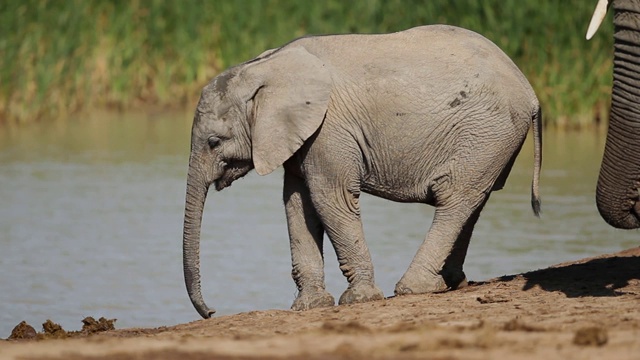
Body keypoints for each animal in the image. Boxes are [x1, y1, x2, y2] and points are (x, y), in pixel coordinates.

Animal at [180, 24, 540, 318]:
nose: (211, 312)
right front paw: (310, 306)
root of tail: (531, 92)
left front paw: (359, 300)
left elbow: (331, 198)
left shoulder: (329, 128)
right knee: (473, 201)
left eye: (214, 141)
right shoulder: (303, 137)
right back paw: (451, 283)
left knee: (455, 199)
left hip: (487, 132)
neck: (264, 67)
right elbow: (297, 204)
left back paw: (416, 288)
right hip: (491, 141)